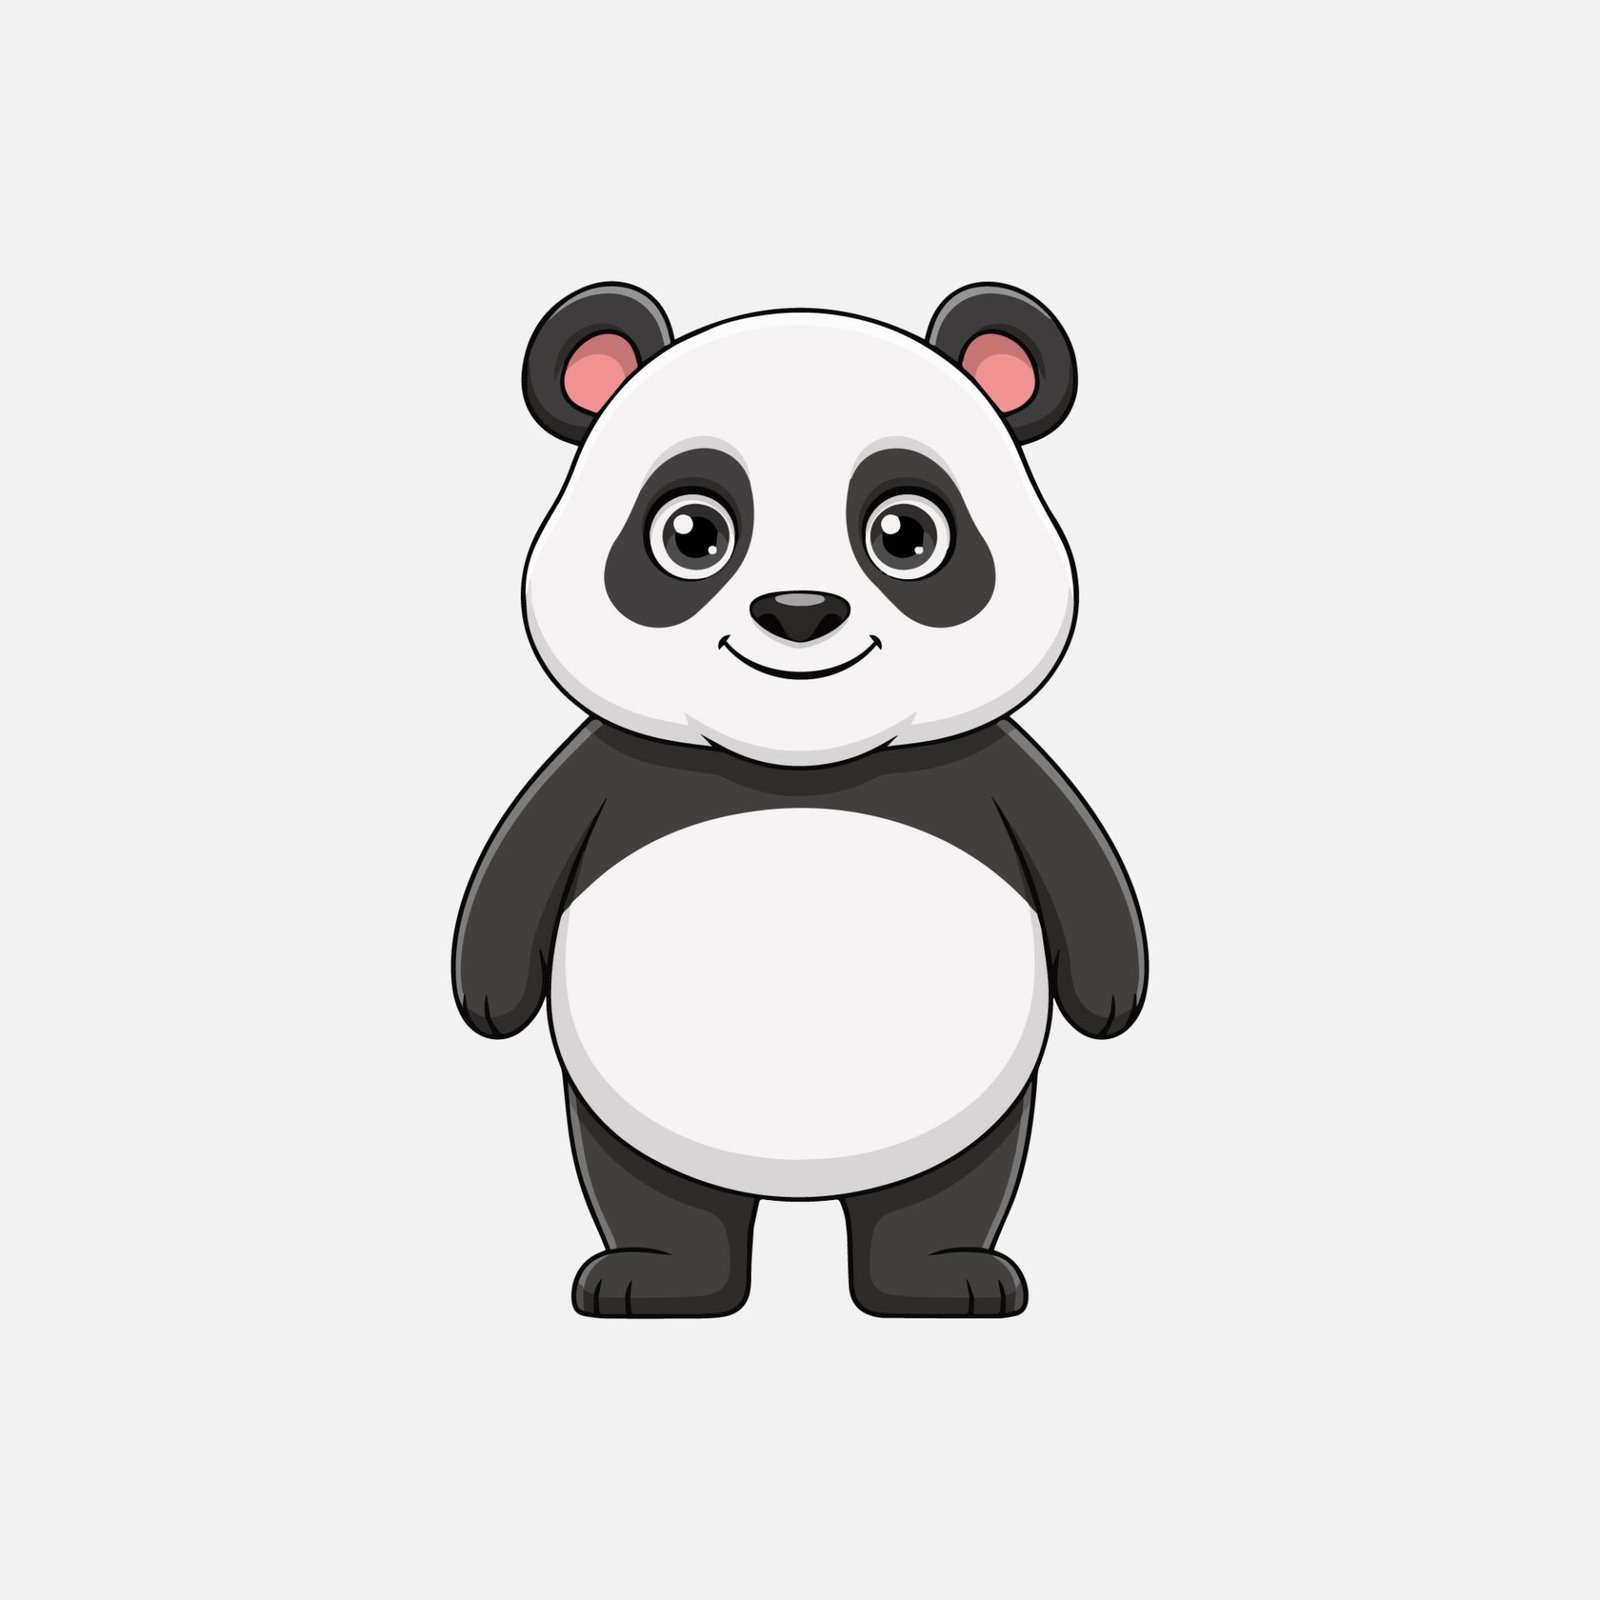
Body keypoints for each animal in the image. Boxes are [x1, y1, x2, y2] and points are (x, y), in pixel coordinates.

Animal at [452, 282, 1147, 1318]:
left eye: (906, 534)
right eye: (691, 533)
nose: (800, 612)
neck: (799, 763)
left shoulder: (992, 770)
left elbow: (1078, 868)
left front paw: (1111, 999)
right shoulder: (608, 770)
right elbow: (520, 867)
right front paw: (488, 999)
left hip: (970, 1112)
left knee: (947, 1189)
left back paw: (941, 1280)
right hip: (628, 1112)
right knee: (652, 1188)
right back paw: (657, 1279)